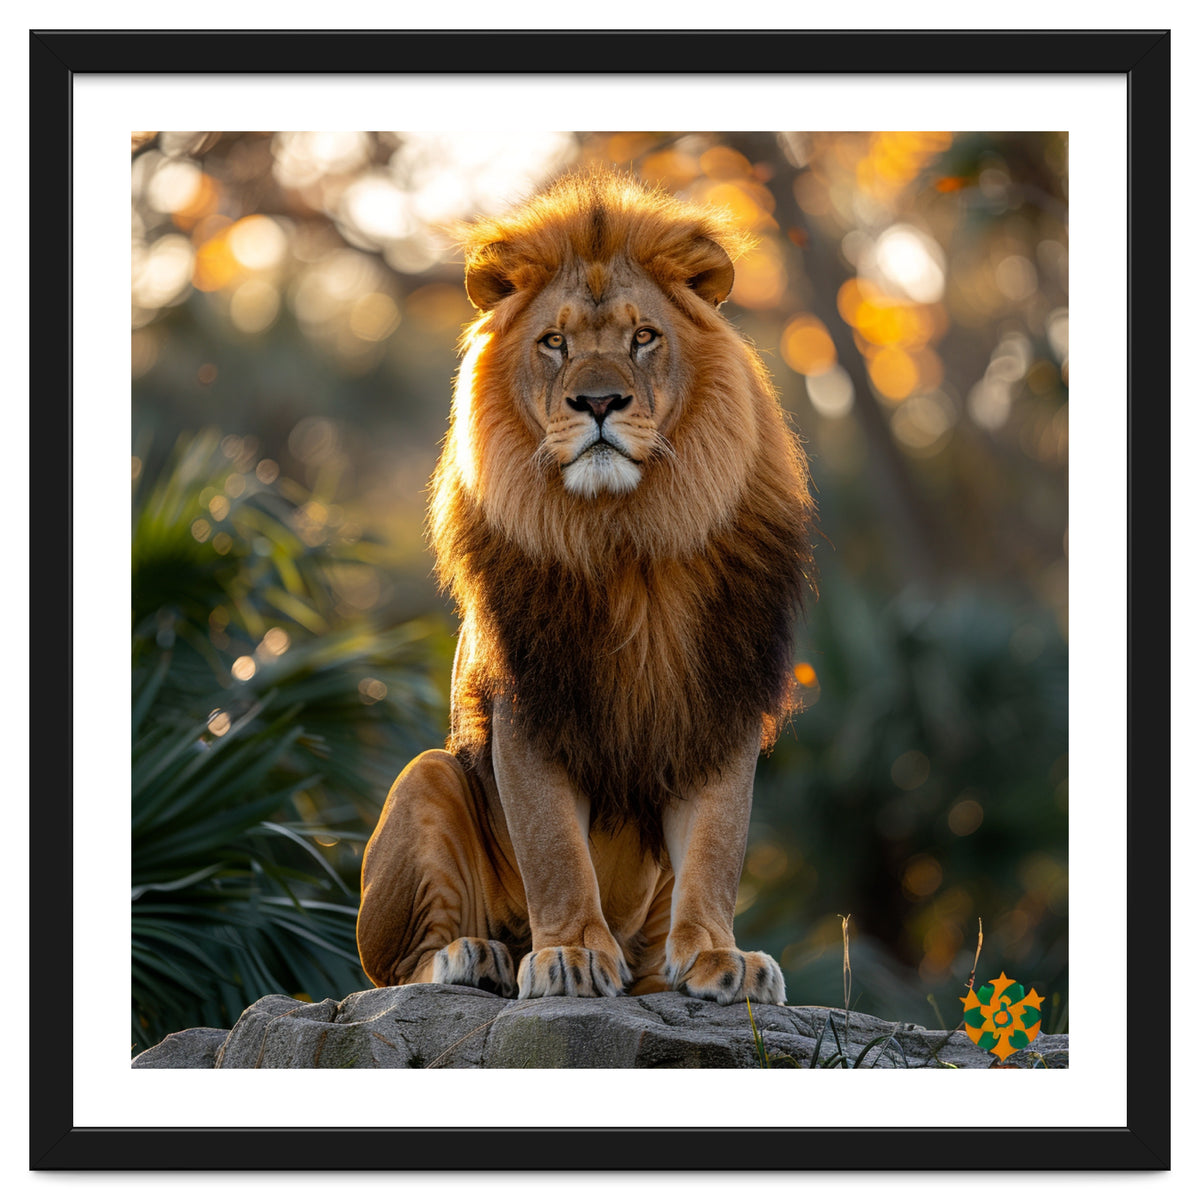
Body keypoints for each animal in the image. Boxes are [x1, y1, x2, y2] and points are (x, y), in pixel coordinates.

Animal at [357, 170, 815, 1005]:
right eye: (555, 343)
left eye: (643, 337)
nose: (598, 403)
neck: (627, 537)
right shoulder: (529, 703)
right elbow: (555, 850)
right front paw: (568, 953)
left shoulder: (719, 702)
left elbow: (716, 846)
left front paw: (719, 957)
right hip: (427, 777)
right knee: (394, 970)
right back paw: (477, 956)